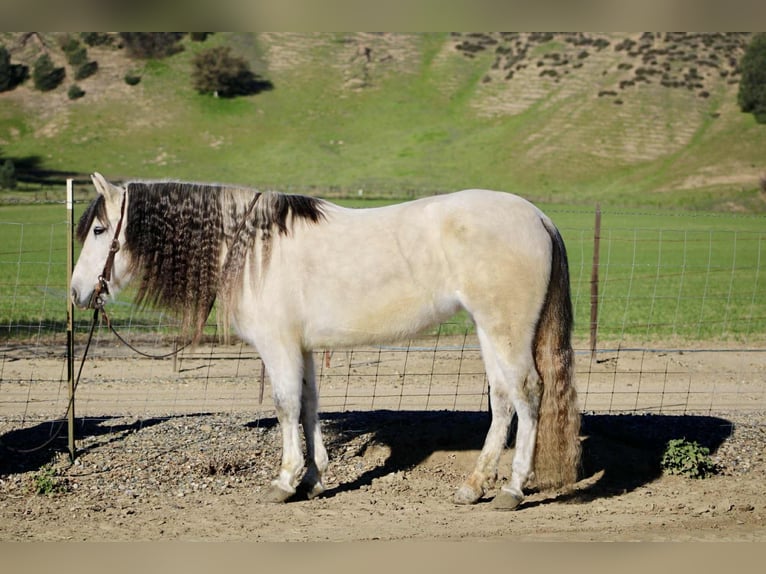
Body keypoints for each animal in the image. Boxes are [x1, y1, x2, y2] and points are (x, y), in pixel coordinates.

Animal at [71, 172, 581, 510]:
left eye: (99, 229)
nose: (76, 293)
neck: (252, 246)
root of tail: (538, 217)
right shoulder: (303, 348)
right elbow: (310, 405)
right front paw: (314, 479)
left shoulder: (278, 346)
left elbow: (285, 406)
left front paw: (284, 481)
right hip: (489, 329)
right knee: (503, 398)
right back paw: (474, 486)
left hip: (505, 329)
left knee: (528, 393)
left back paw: (512, 489)